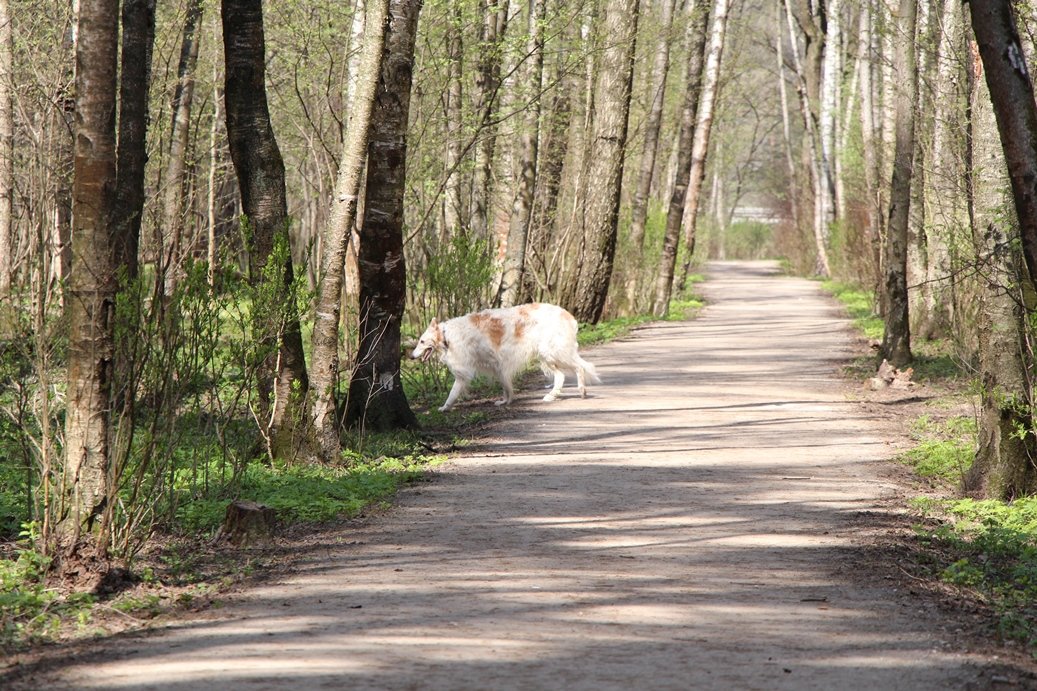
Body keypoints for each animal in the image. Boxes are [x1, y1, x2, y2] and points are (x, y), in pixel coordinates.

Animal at [410, 300, 601, 408]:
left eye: (422, 341)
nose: (411, 356)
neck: (446, 335)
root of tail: (568, 314)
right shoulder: (497, 365)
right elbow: (506, 386)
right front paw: (506, 401)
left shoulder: (465, 371)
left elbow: (452, 393)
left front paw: (445, 407)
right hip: (547, 355)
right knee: (561, 376)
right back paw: (551, 396)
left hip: (553, 351)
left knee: (580, 367)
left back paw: (582, 390)